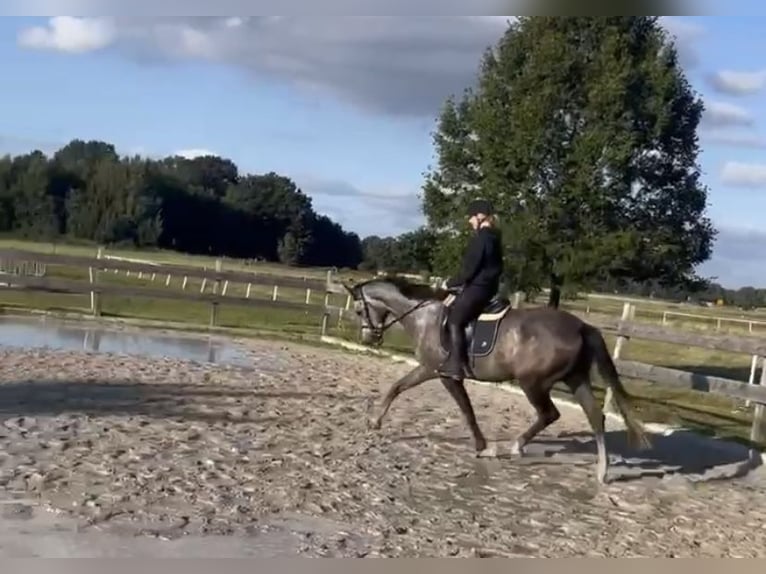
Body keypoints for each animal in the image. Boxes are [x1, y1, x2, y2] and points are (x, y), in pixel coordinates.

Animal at [344, 276, 652, 484]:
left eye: (359, 310)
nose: (369, 338)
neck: (425, 316)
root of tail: (581, 326)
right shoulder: (433, 371)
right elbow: (400, 387)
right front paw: (375, 421)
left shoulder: (440, 373)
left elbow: (464, 410)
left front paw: (483, 448)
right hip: (576, 379)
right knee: (594, 416)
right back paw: (602, 471)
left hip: (533, 382)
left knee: (550, 413)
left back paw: (517, 445)